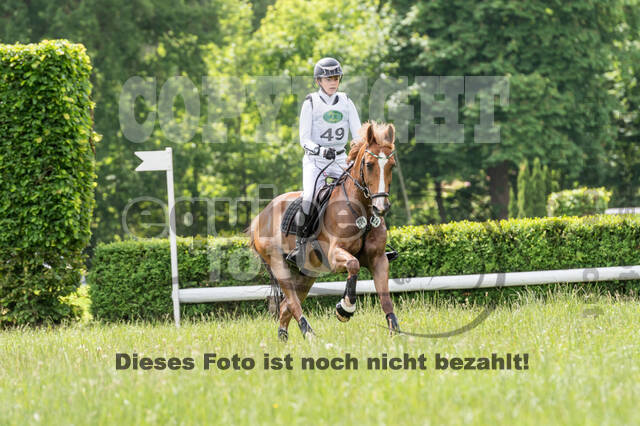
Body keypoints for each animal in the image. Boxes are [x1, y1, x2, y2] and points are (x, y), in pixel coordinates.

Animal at [247, 121, 399, 341]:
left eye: (392, 165)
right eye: (369, 164)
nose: (381, 207)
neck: (361, 209)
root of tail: (260, 217)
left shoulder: (379, 259)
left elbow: (386, 299)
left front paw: (395, 332)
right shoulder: (335, 256)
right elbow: (353, 265)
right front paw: (345, 309)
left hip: (307, 273)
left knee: (285, 307)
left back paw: (285, 339)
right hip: (278, 264)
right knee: (292, 302)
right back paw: (309, 335)